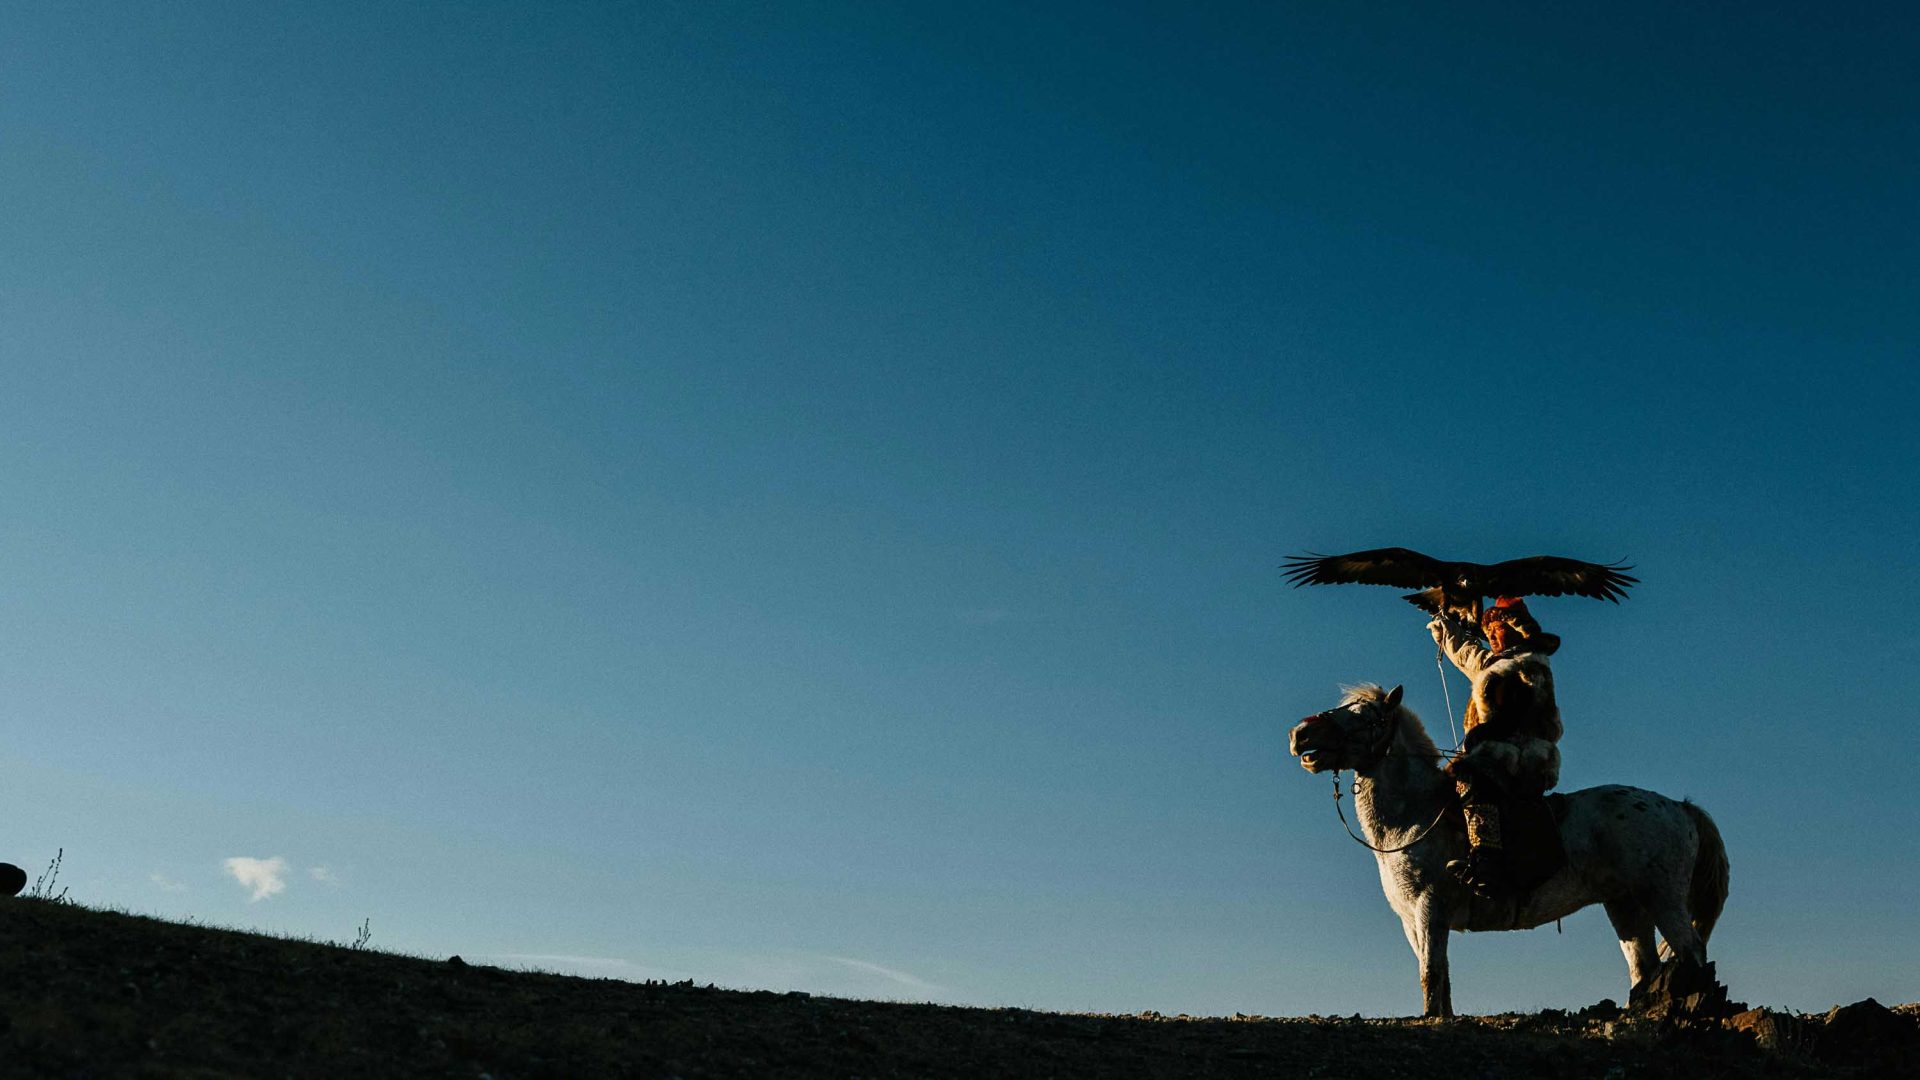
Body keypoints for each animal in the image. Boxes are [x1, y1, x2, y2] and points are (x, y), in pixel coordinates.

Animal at [1290, 680, 1728, 1014]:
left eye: (1368, 717)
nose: (1300, 735)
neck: (1412, 815)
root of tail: (1679, 807)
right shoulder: (1412, 919)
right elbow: (1438, 974)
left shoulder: (1430, 906)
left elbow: (1431, 973)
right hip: (1625, 904)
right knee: (1645, 967)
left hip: (1662, 896)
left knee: (1692, 952)